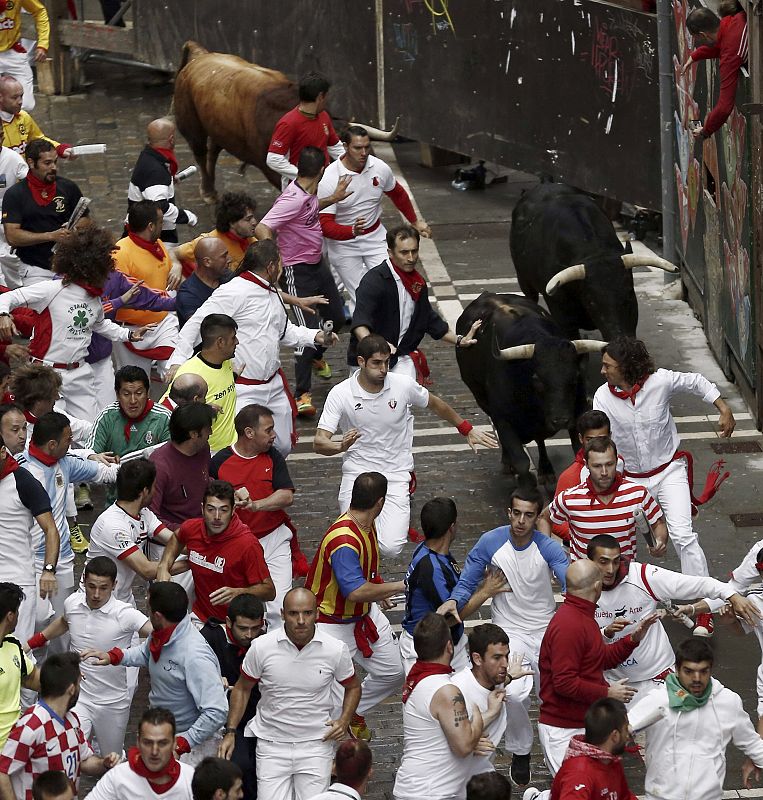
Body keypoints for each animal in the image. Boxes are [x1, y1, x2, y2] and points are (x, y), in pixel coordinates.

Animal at [174, 40, 400, 203]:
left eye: (371, 151)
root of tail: (200, 57)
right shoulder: (272, 167)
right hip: (191, 123)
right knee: (201, 153)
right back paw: (208, 192)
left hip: (218, 126)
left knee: (213, 150)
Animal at [454, 294, 604, 488]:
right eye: (537, 379)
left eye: (575, 378)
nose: (561, 420)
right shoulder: (502, 419)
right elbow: (521, 461)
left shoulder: (577, 413)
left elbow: (578, 450)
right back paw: (507, 463)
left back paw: (546, 471)